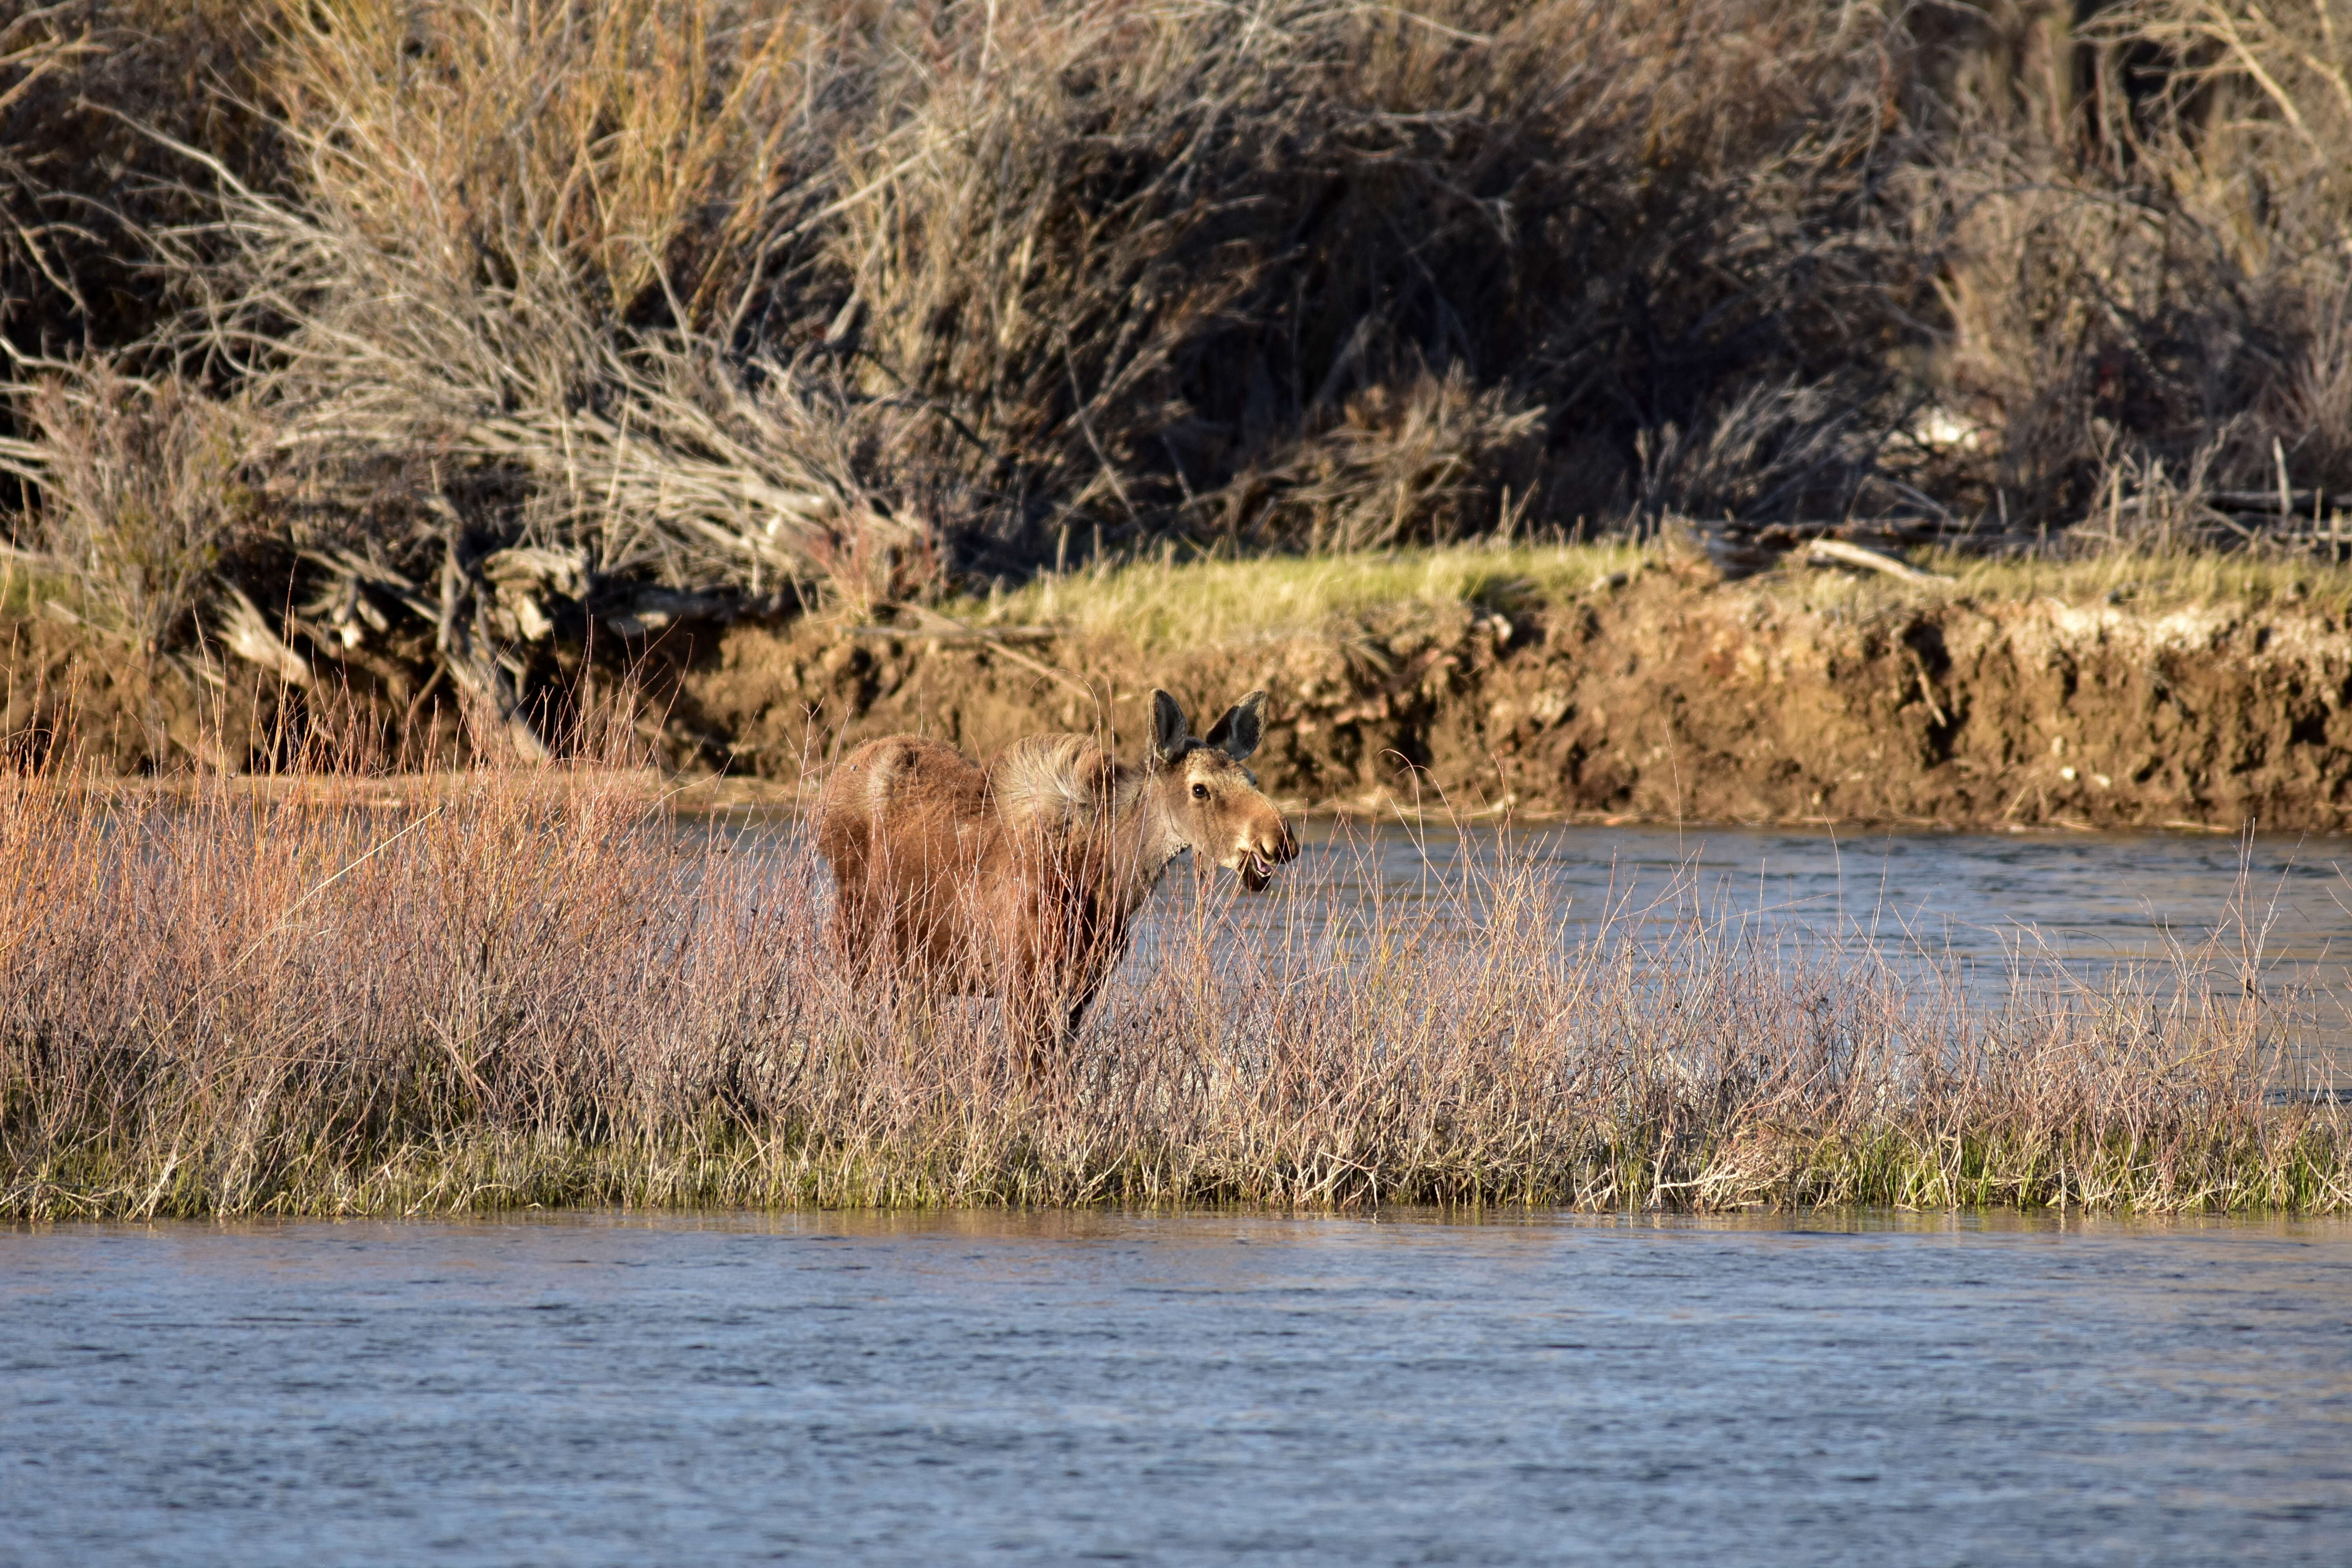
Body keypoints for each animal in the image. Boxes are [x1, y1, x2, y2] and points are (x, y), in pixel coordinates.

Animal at [809, 686, 1289, 1067]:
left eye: (1252, 778)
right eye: (1200, 789)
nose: (1279, 838)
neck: (1109, 885)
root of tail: (837, 779)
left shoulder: (1079, 987)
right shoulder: (1024, 980)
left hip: (916, 967)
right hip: (857, 938)